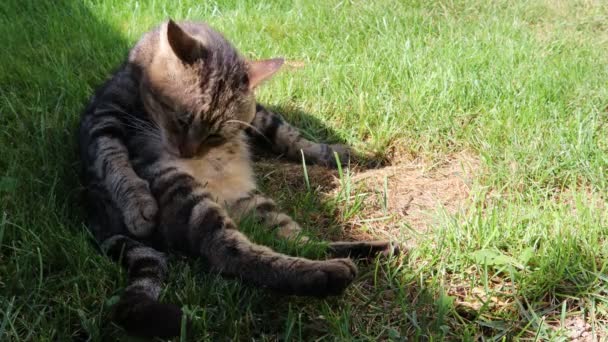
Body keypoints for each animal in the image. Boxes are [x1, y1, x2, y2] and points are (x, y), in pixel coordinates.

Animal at [78, 20, 396, 338]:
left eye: (215, 135)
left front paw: (336, 154)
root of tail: (94, 215)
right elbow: (110, 153)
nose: (187, 154)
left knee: (301, 242)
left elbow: (290, 136)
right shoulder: (106, 112)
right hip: (189, 197)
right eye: (181, 119)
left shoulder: (260, 116)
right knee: (231, 253)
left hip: (257, 205)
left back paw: (370, 248)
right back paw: (328, 274)